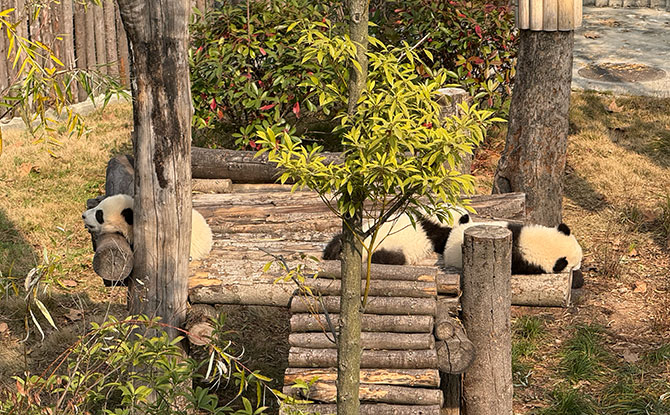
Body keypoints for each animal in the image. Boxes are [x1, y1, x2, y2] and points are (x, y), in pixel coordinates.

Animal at [322, 210, 471, 265]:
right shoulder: (438, 233)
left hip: (352, 235)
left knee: (338, 239)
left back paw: (334, 251)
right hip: (390, 249)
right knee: (388, 258)